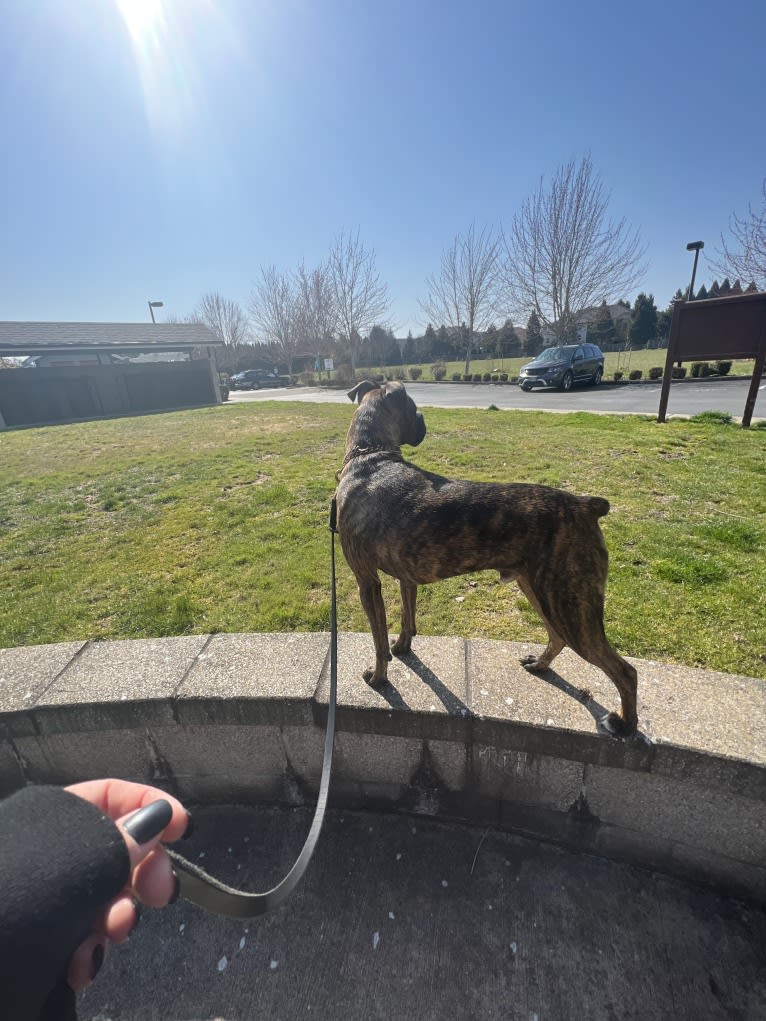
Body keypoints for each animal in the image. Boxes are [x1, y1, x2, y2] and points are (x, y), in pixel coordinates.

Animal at [334, 379, 641, 739]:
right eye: (414, 408)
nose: (424, 419)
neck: (371, 456)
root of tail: (585, 505)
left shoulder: (367, 582)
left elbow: (378, 640)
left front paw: (379, 678)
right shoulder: (405, 577)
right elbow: (407, 621)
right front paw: (402, 647)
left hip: (572, 608)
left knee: (624, 671)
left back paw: (624, 724)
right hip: (541, 592)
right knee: (557, 637)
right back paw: (539, 665)